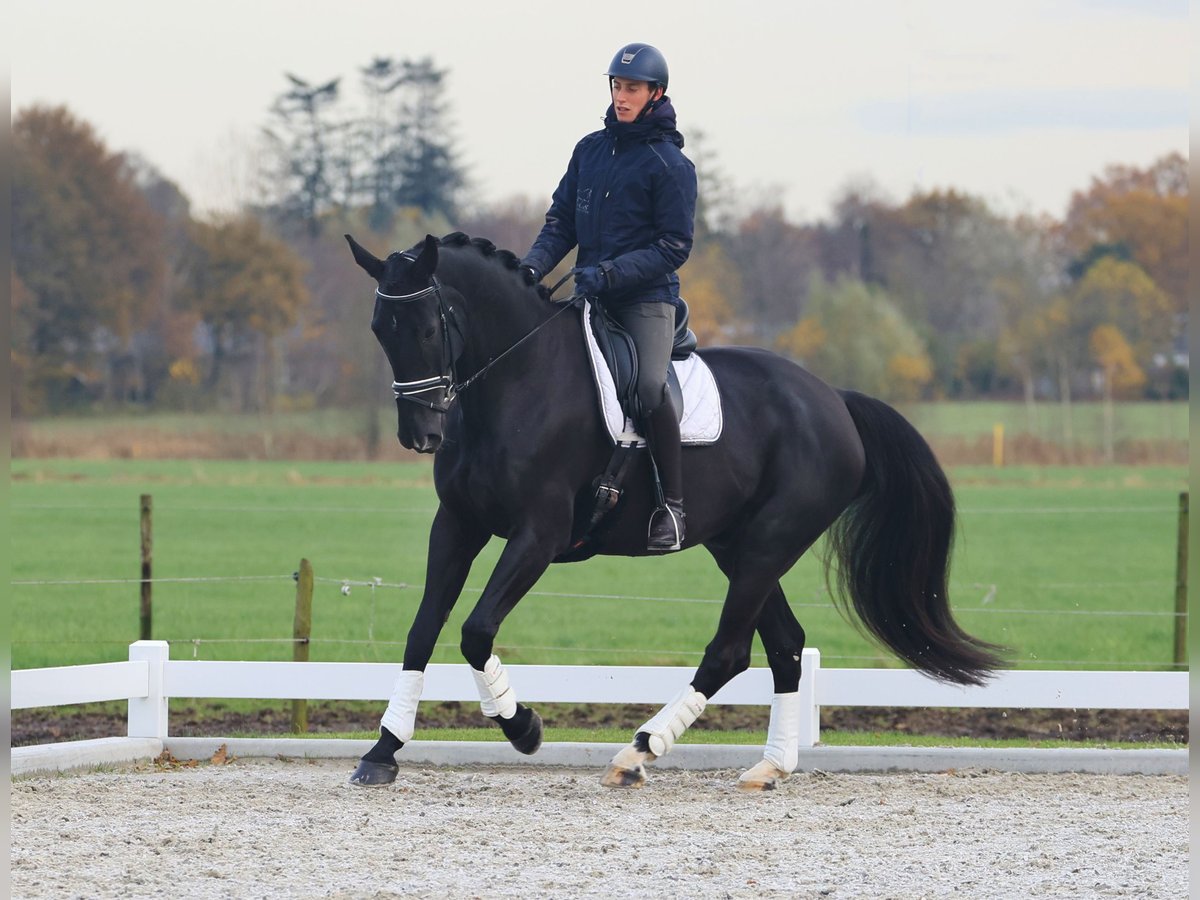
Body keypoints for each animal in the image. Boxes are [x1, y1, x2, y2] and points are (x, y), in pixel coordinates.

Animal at [348, 230, 1003, 787]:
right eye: (380, 329)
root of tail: (833, 400)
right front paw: (383, 751)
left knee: (729, 650)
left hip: (769, 542)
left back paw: (638, 752)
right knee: (785, 645)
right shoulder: (458, 525)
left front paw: (523, 726)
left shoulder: (538, 534)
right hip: (739, 545)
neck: (517, 381)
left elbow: (475, 630)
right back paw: (769, 766)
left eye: (428, 328)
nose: (421, 434)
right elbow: (424, 629)